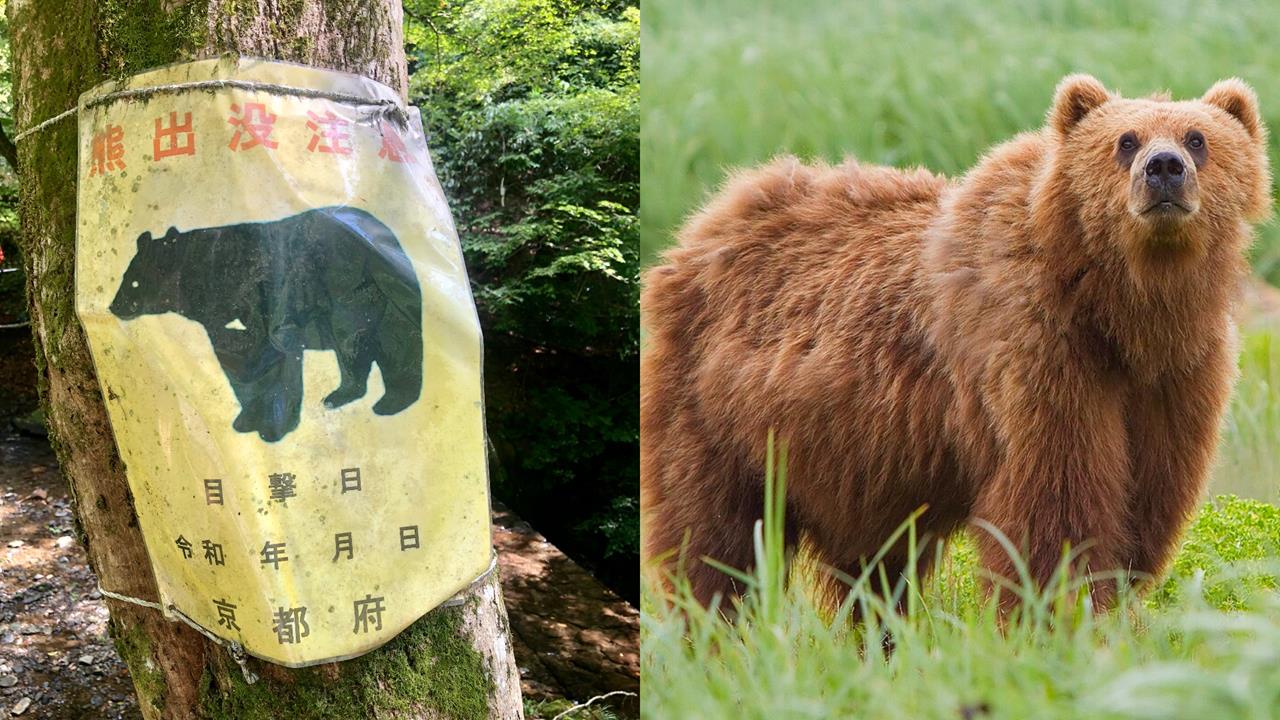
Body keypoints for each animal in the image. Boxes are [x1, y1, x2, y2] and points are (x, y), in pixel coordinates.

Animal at [109, 206, 424, 443]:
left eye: (134, 282)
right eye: (125, 277)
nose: (113, 307)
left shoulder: (258, 300)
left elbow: (268, 354)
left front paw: (273, 426)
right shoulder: (218, 322)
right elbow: (237, 362)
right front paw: (246, 420)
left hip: (352, 293)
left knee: (357, 342)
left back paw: (340, 397)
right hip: (388, 303)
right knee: (397, 347)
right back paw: (390, 402)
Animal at [641, 75, 1272, 612]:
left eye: (1198, 138)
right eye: (1125, 140)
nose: (1164, 168)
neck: (1121, 311)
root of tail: (706, 221)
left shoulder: (1176, 377)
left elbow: (1146, 503)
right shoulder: (1037, 353)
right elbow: (1056, 509)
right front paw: (1060, 615)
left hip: (854, 458)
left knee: (874, 565)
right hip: (716, 409)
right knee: (712, 537)